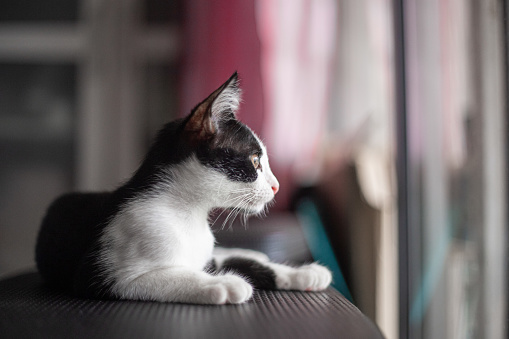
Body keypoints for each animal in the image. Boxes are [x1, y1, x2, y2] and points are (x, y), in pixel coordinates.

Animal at [34, 72, 330, 306]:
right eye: (255, 162)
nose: (276, 186)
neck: (188, 214)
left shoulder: (208, 257)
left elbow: (245, 265)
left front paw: (302, 273)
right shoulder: (99, 274)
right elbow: (170, 276)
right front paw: (220, 284)